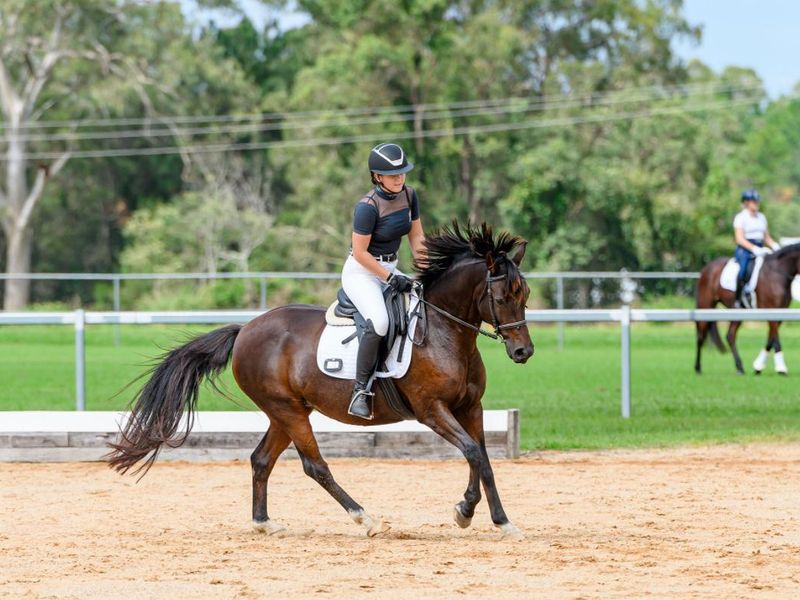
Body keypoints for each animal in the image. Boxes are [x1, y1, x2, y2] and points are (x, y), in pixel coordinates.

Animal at [106, 222, 534, 537]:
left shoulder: (470, 407)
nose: (523, 352)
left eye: (525, 294)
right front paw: (478, 515)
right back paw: (365, 519)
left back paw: (264, 524)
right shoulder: (432, 411)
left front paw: (486, 516)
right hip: (288, 410)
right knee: (315, 465)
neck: (446, 333)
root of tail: (245, 330)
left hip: (287, 411)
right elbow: (473, 453)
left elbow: (481, 458)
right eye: (502, 297)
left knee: (261, 459)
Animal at [695, 243, 800, 375]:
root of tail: (706, 268)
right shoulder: (770, 310)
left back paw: (739, 367)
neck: (778, 273)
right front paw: (781, 368)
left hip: (737, 313)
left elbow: (771, 339)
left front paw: (758, 367)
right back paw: (698, 368)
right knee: (701, 336)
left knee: (730, 336)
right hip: (705, 305)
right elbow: (775, 338)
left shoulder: (781, 312)